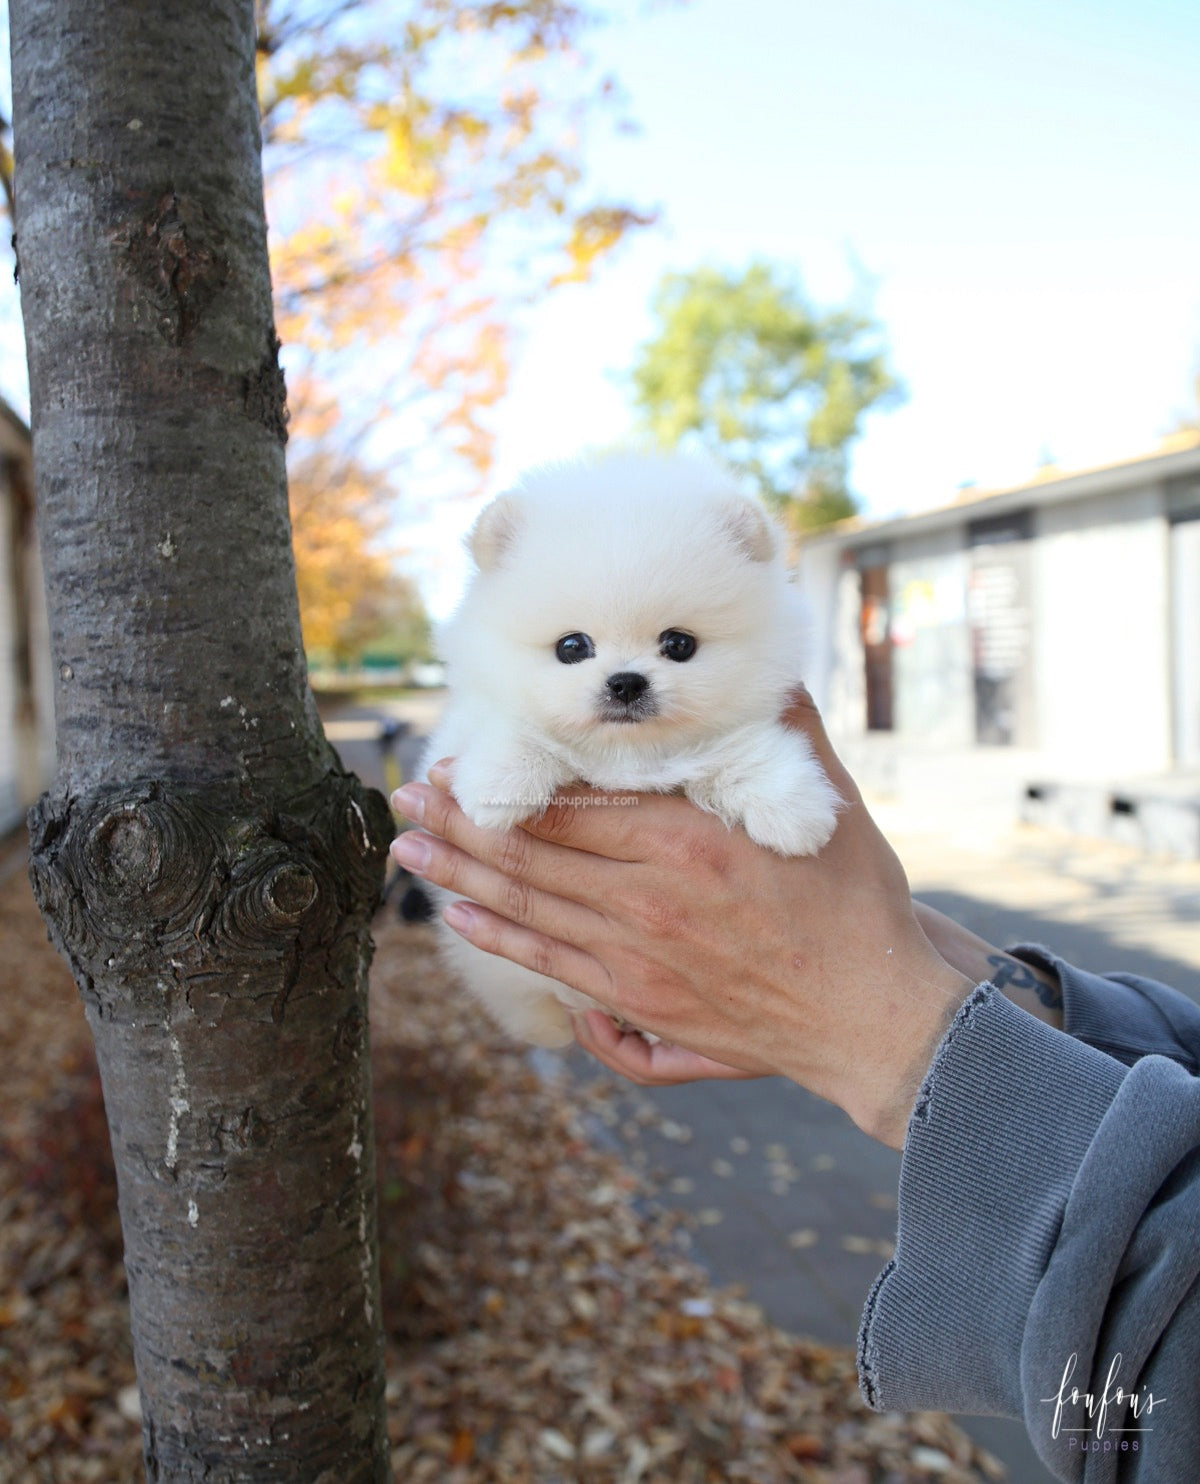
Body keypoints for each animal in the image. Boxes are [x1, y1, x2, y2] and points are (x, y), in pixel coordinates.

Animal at [421, 448, 842, 1044]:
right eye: (572, 647)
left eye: (679, 644)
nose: (625, 682)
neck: (628, 756)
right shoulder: (468, 724)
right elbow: (511, 728)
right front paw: (499, 784)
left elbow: (747, 751)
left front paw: (795, 811)